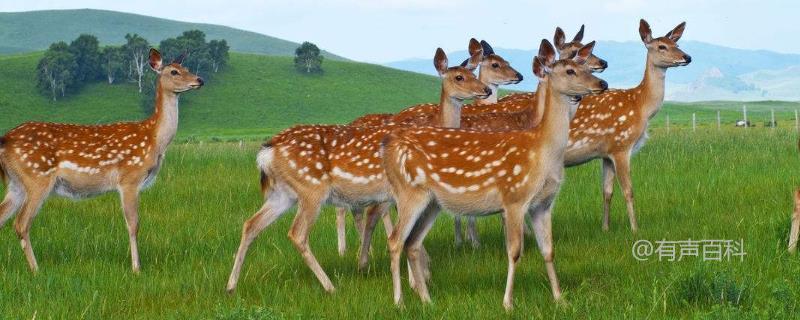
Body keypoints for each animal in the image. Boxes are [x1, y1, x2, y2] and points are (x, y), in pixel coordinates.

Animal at [0, 48, 203, 272]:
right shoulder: (130, 178)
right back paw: (36, 270)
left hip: (16, 183)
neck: (154, 140)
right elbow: (133, 224)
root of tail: (5, 140)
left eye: (187, 67)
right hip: (36, 177)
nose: (199, 80)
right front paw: (136, 268)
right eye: (174, 71)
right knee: (21, 223)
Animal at [222, 47, 490, 292]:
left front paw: (422, 274)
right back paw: (330, 286)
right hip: (311, 188)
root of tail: (267, 150)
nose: (485, 90)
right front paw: (417, 280)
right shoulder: (398, 193)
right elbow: (401, 234)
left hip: (283, 194)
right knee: (297, 233)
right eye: (459, 77)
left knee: (251, 225)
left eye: (473, 72)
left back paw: (231, 286)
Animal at [382, 38, 608, 310]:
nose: (602, 83)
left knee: (412, 243)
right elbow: (514, 251)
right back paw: (399, 302)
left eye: (584, 66)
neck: (544, 153)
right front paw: (508, 303)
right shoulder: (514, 198)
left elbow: (548, 250)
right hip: (409, 193)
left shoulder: (543, 204)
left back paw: (428, 301)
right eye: (570, 70)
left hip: (432, 202)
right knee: (395, 240)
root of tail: (389, 148)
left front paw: (560, 299)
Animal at [560, 18, 692, 231]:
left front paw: (605, 228)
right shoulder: (621, 146)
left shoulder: (606, 153)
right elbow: (629, 191)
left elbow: (607, 192)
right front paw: (635, 229)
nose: (687, 57)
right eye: (662, 46)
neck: (640, 105)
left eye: (677, 44)